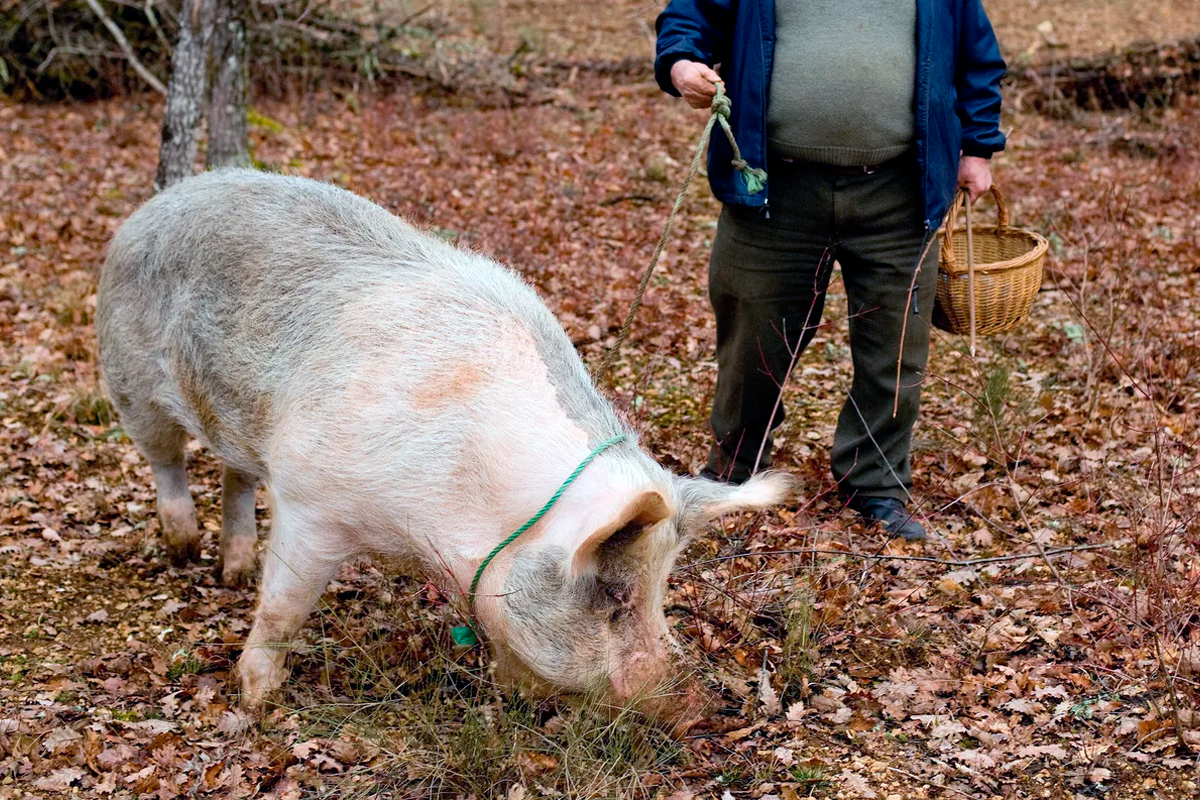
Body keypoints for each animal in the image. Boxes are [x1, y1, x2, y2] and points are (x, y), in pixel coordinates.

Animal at [96, 169, 796, 724]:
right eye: (615, 596)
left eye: (661, 591)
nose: (696, 709)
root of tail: (165, 198)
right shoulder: (314, 502)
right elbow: (284, 608)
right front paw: (258, 702)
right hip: (130, 381)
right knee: (168, 462)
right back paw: (184, 547)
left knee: (234, 476)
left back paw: (233, 571)